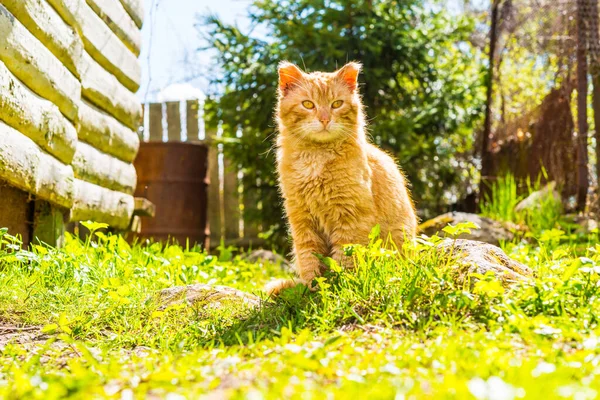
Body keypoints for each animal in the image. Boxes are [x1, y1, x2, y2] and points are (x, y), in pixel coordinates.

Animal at [268, 61, 418, 294]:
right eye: (308, 104)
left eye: (336, 104)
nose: (324, 119)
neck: (316, 157)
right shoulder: (302, 220)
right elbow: (309, 260)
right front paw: (312, 289)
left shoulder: (350, 217)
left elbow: (343, 262)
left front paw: (338, 288)